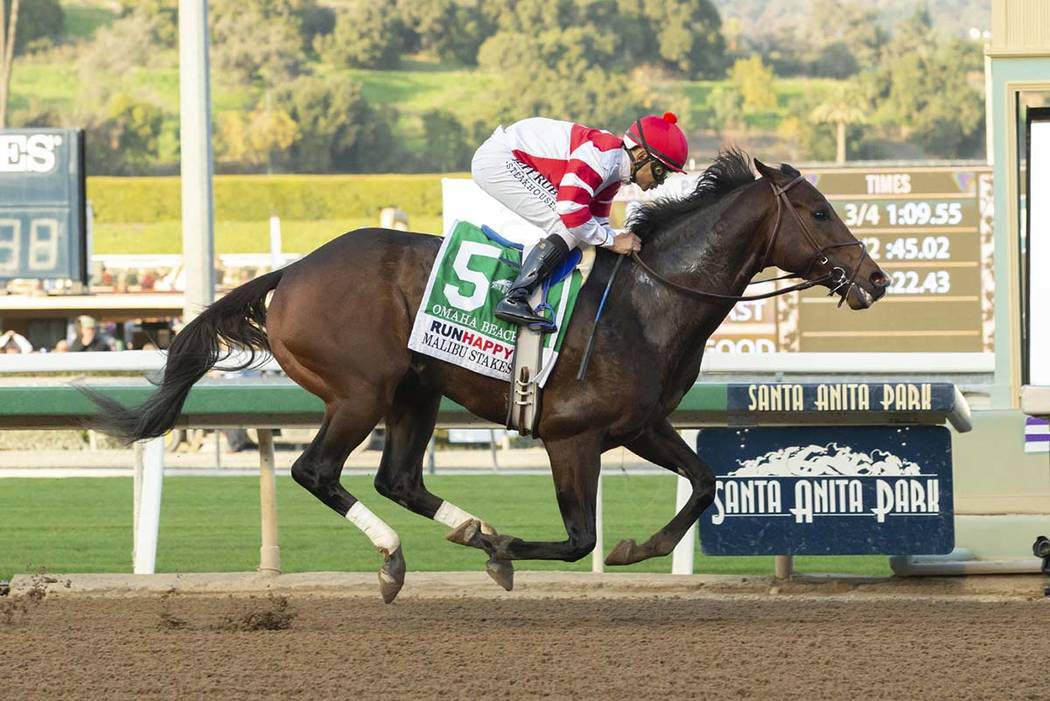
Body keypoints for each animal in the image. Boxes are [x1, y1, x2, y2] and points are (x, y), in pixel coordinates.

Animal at [86, 153, 886, 604]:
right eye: (820, 211)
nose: (875, 280)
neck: (651, 298)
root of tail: (291, 271)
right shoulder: (572, 436)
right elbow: (578, 538)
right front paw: (509, 555)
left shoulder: (640, 424)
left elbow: (704, 480)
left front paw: (639, 548)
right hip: (360, 391)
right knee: (317, 471)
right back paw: (396, 558)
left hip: (415, 391)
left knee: (399, 479)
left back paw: (464, 526)